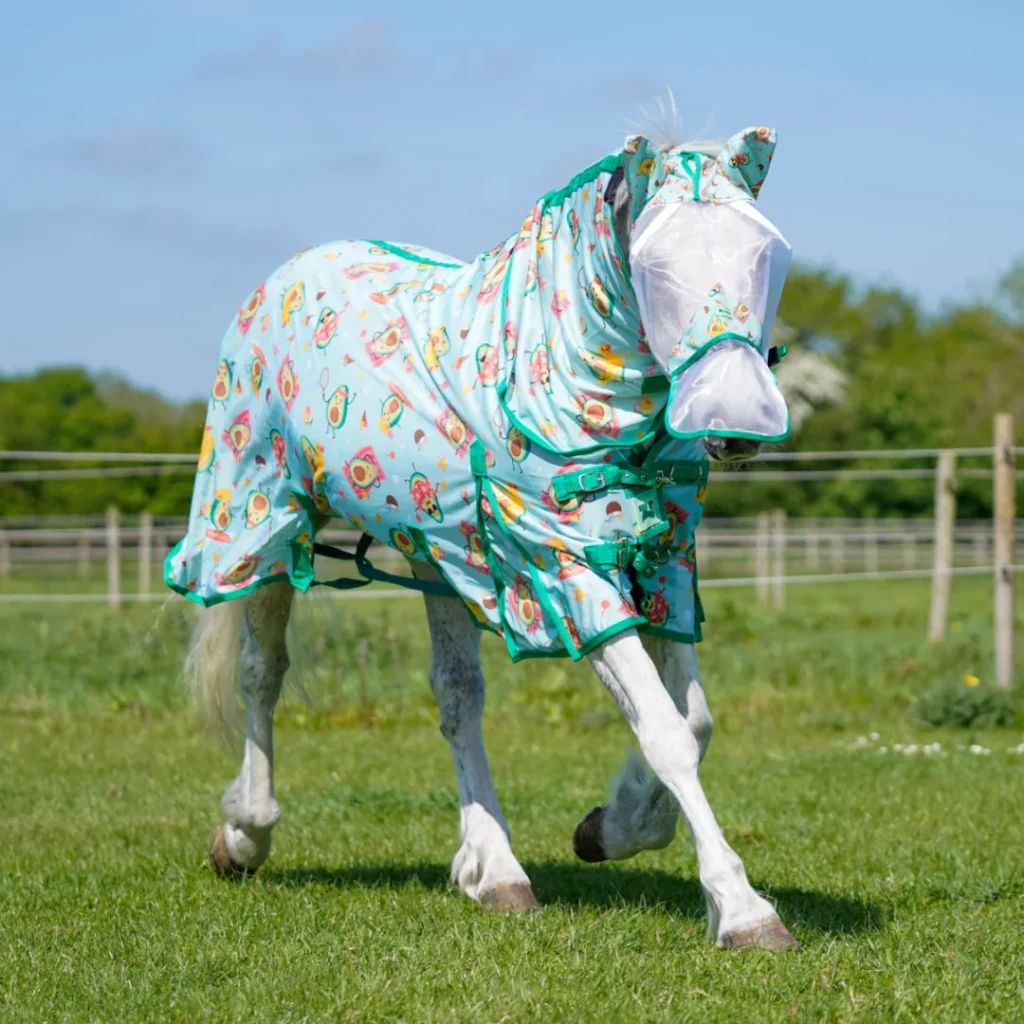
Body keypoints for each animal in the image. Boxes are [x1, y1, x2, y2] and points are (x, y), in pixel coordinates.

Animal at [170, 123, 798, 950]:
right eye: (655, 265)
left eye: (768, 253)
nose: (737, 424)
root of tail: (288, 275)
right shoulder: (565, 570)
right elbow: (666, 732)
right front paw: (742, 908)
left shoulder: (663, 565)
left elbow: (693, 723)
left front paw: (611, 827)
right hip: (267, 521)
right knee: (260, 673)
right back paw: (245, 833)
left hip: (437, 552)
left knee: (457, 696)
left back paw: (494, 869)